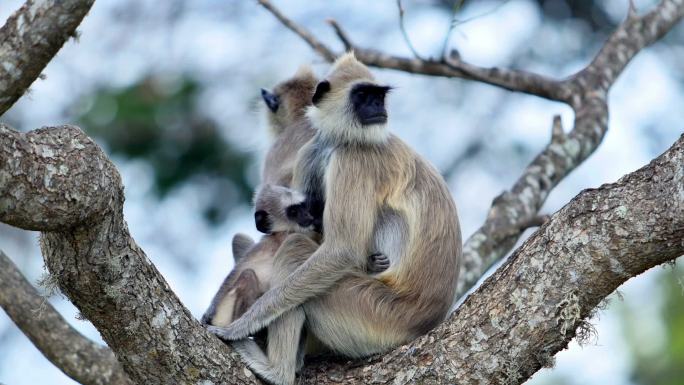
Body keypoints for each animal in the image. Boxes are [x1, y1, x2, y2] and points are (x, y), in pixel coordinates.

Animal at [211, 53, 462, 384]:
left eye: (379, 96)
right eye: (364, 95)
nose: (378, 107)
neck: (339, 141)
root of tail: (429, 320)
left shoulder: (353, 159)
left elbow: (340, 250)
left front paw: (241, 325)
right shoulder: (312, 152)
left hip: (374, 313)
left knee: (295, 249)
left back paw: (277, 370)